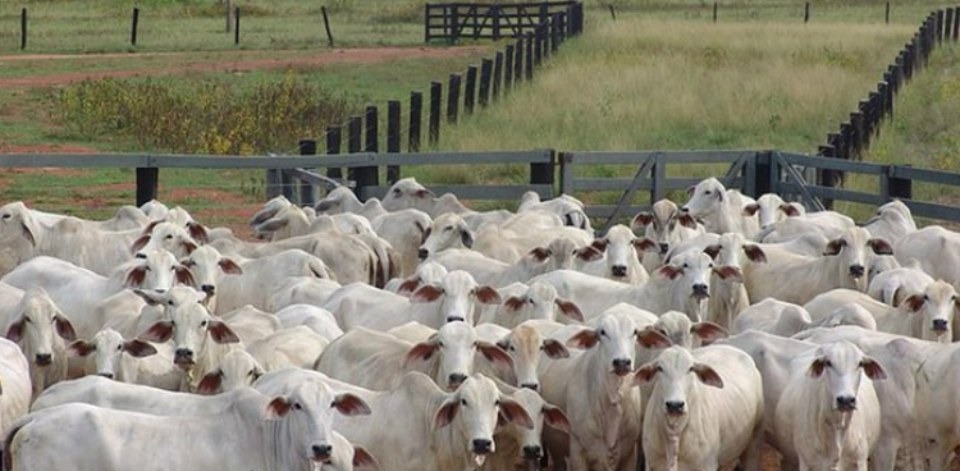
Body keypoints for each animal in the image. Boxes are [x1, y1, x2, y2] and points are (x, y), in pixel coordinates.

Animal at [636, 344, 764, 471]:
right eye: (659, 368)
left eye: (691, 368)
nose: (675, 405)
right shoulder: (651, 463)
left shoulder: (707, 466)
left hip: (754, 439)